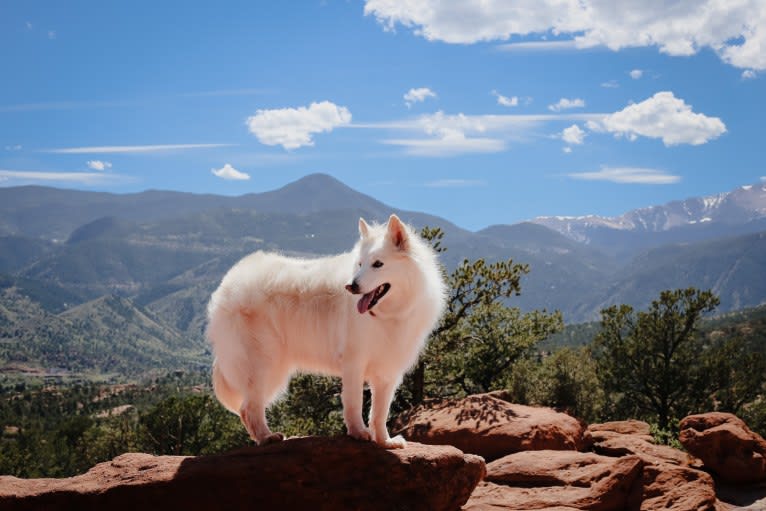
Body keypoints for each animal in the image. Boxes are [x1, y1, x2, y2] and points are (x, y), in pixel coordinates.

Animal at [207, 214, 448, 450]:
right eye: (360, 264)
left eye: (378, 264)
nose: (351, 286)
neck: (388, 315)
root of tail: (225, 287)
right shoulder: (354, 362)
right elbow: (354, 403)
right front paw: (359, 433)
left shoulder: (387, 373)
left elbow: (379, 413)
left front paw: (384, 441)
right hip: (265, 366)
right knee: (249, 408)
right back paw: (266, 437)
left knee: (246, 408)